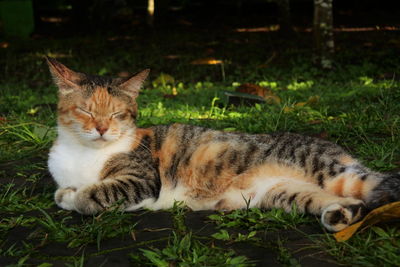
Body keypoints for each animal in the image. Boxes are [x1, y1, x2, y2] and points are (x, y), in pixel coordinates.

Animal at [47, 57, 400, 233]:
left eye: (117, 114)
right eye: (86, 111)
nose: (103, 129)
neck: (85, 154)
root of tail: (337, 149)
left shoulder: (142, 180)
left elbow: (96, 193)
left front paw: (77, 197)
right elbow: (62, 192)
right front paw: (67, 194)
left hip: (335, 172)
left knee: (380, 184)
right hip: (286, 193)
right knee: (345, 202)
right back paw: (339, 215)